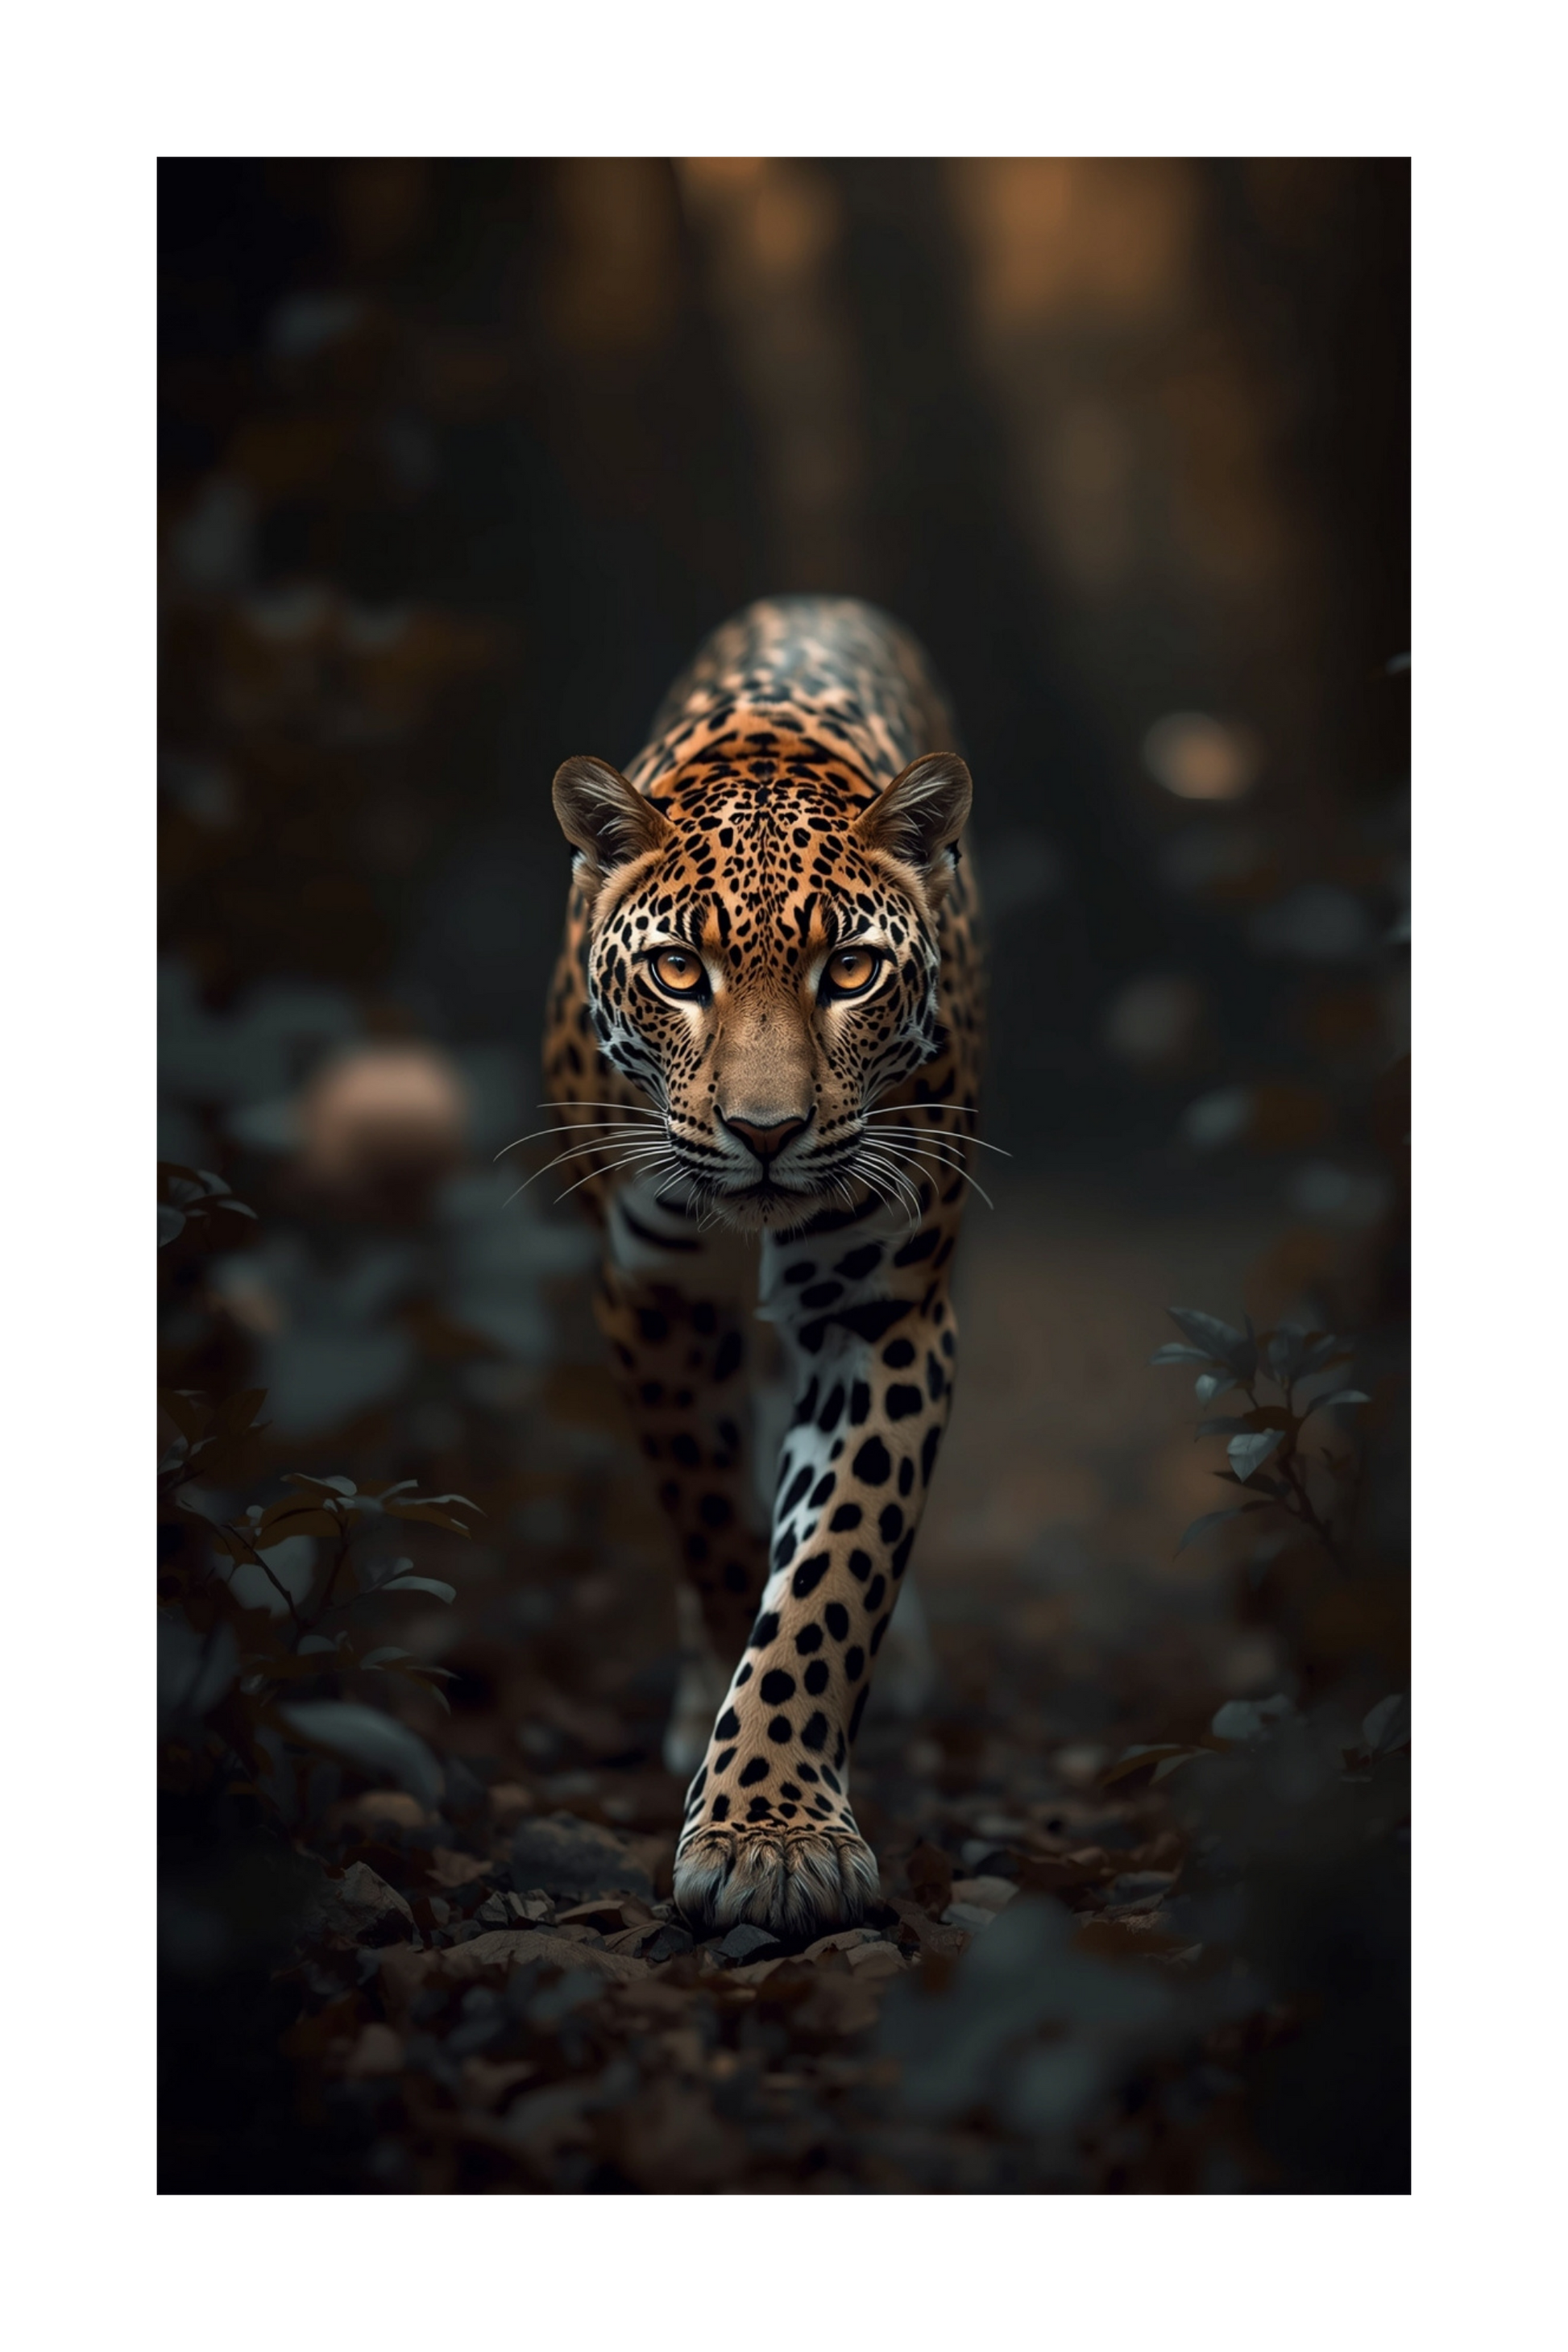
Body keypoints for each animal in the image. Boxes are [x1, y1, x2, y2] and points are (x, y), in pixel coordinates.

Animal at [541, 595, 985, 1939]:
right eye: (680, 971)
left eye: (850, 971)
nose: (767, 1130)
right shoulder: (655, 1293)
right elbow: (715, 1521)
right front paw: (738, 1771)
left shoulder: (884, 1310)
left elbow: (834, 1564)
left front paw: (771, 1830)